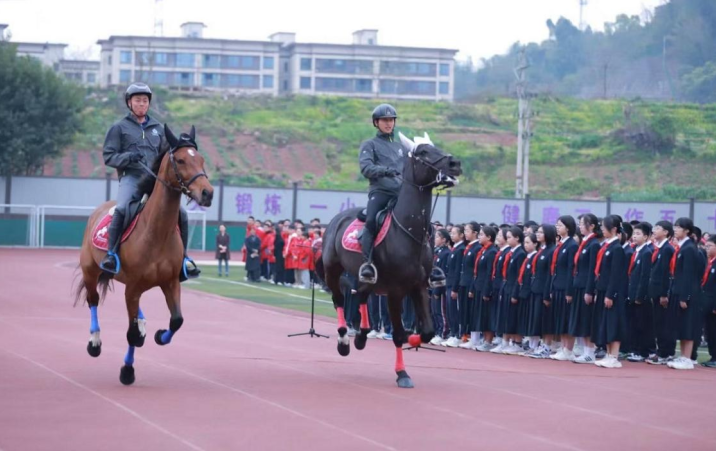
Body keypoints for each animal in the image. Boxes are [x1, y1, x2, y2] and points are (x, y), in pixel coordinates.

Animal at [74, 124, 213, 385]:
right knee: (93, 301)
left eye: (201, 159)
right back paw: (95, 342)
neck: (156, 231)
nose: (207, 193)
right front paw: (127, 371)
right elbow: (129, 335)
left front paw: (159, 335)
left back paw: (143, 326)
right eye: (180, 160)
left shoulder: (170, 283)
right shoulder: (133, 287)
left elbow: (176, 321)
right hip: (90, 271)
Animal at [318, 133, 462, 388]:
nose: (455, 164)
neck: (408, 232)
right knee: (339, 301)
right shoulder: (396, 291)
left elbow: (427, 331)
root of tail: (337, 219)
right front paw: (402, 374)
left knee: (361, 296)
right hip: (332, 271)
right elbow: (397, 334)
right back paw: (344, 342)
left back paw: (362, 336)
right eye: (423, 152)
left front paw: (414, 339)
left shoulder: (419, 286)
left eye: (434, 147)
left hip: (366, 277)